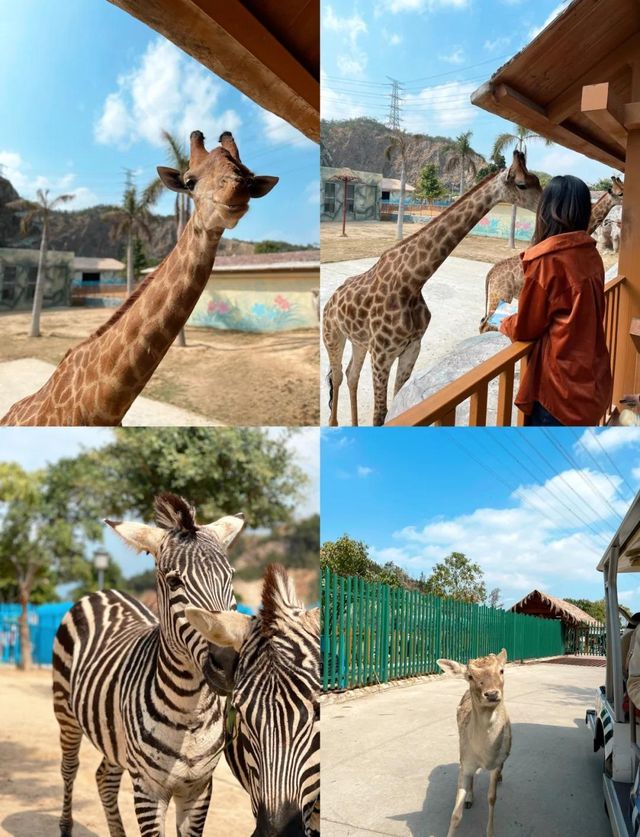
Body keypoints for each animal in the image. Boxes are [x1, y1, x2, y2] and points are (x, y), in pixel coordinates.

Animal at [52, 494, 245, 832]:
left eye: (230, 576)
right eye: (174, 581)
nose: (229, 661)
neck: (190, 712)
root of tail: (102, 591)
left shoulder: (199, 788)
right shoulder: (147, 788)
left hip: (115, 738)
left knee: (104, 777)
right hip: (66, 713)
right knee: (70, 767)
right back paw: (65, 825)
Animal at [436, 652, 510, 836]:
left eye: (501, 670)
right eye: (470, 676)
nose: (491, 694)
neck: (485, 755)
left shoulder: (496, 764)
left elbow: (492, 798)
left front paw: (490, 832)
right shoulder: (466, 761)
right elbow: (456, 814)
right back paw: (469, 798)